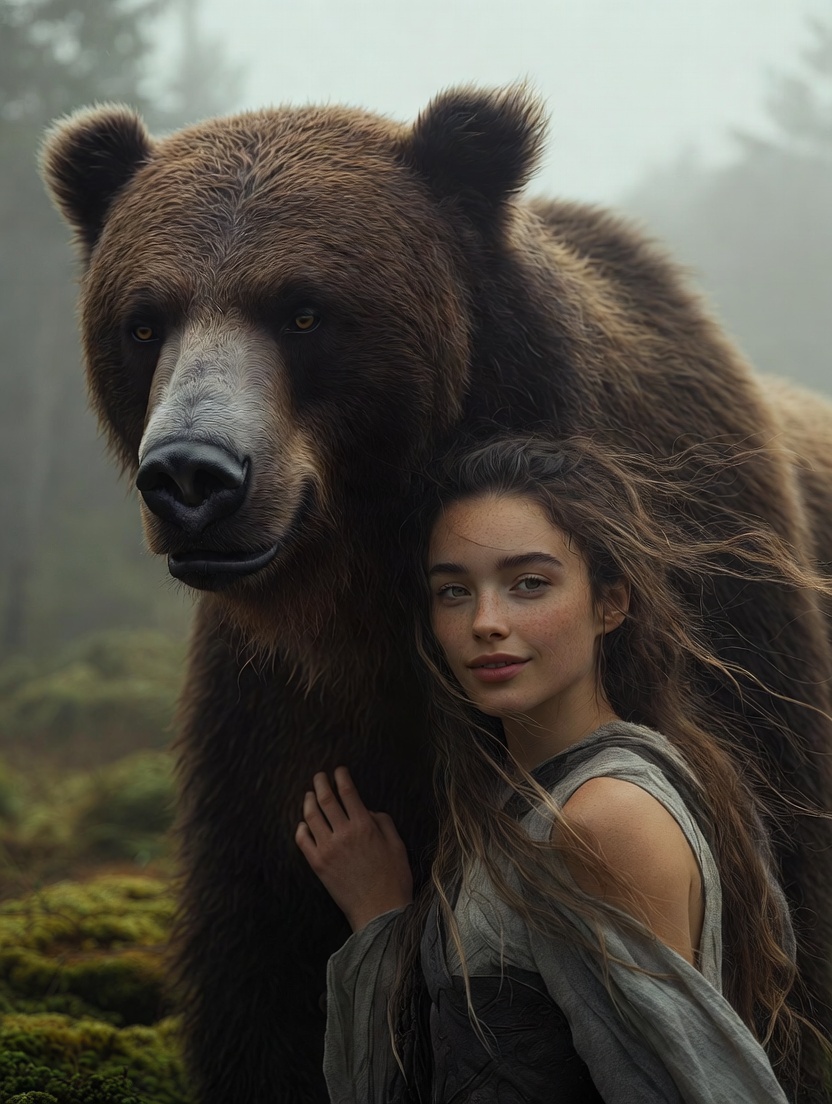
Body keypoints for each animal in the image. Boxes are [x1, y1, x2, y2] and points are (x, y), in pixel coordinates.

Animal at [40, 87, 832, 1103]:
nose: (191, 476)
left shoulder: (735, 643)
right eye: (143, 321)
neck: (372, 599)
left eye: (305, 310)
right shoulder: (276, 717)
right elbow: (267, 967)